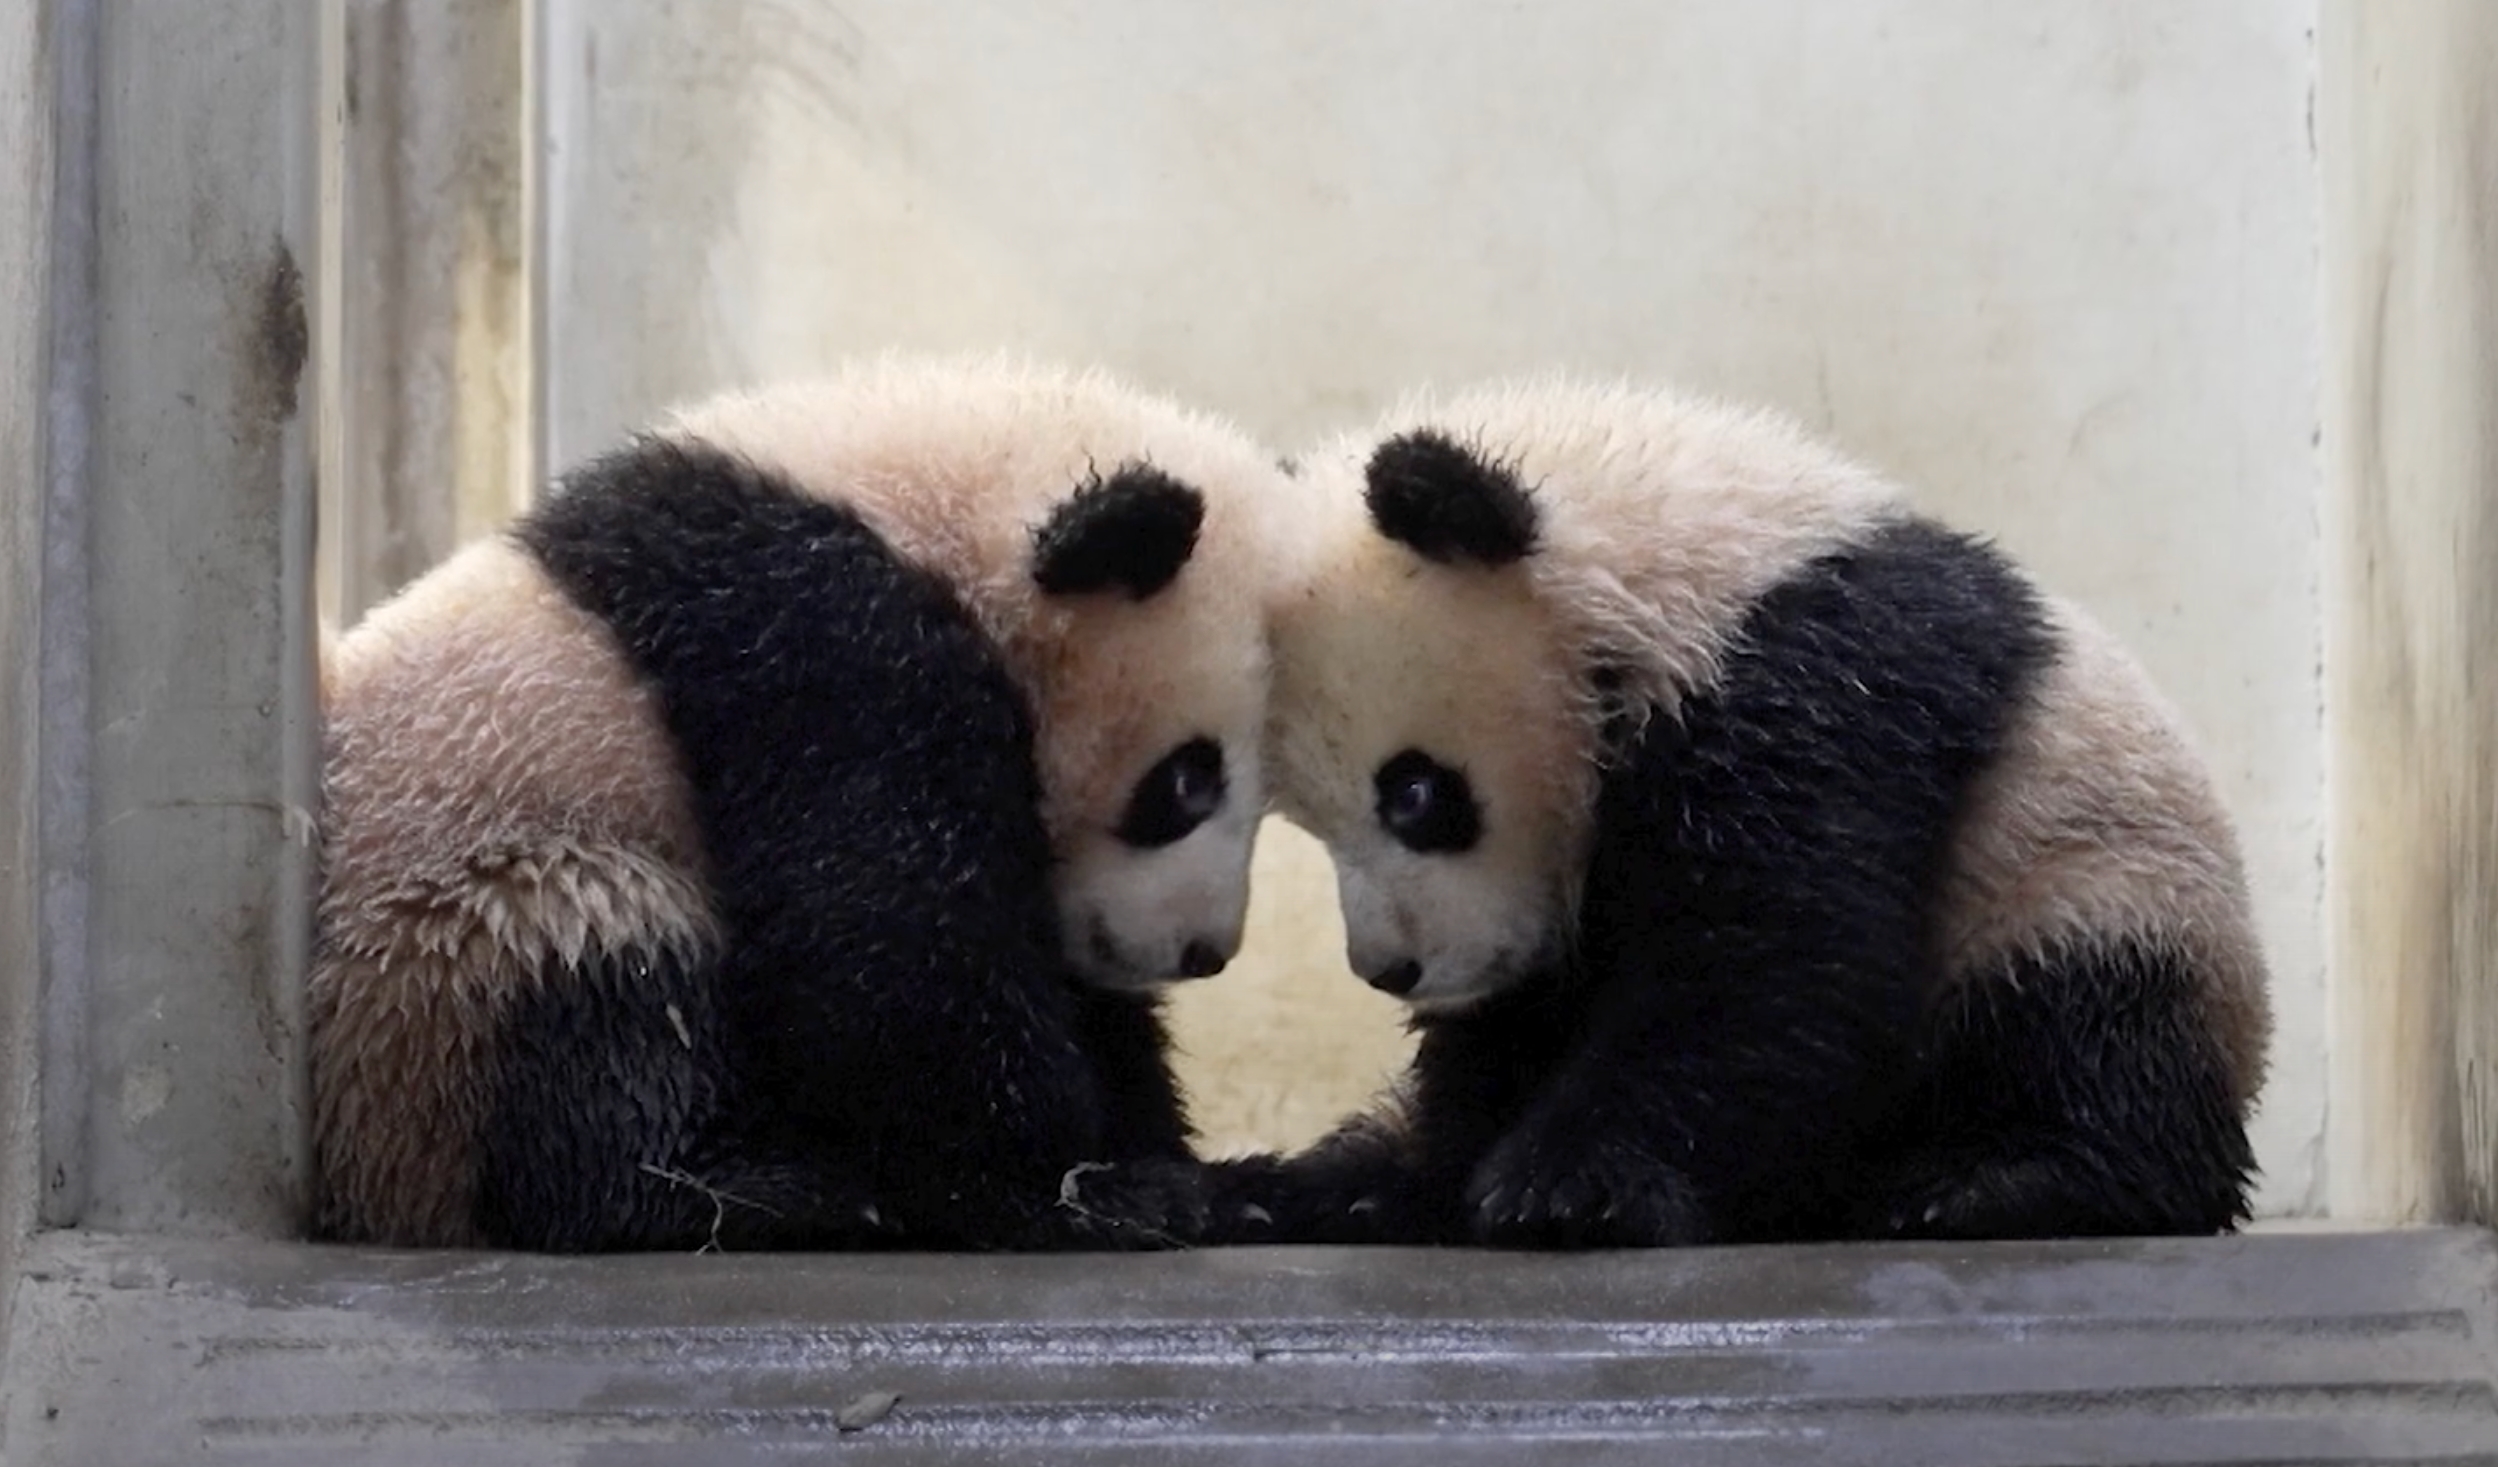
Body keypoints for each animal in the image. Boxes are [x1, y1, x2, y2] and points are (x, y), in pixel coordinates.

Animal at [311, 355, 1288, 1253]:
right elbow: (892, 950)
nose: (1204, 951)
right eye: (1188, 782)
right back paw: (760, 1191)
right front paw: (1082, 1185)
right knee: (599, 989)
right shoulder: (817, 647)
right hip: (448, 946)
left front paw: (1180, 1157)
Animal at [1215, 375, 2272, 1248]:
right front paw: (1393, 1180)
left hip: (2100, 882)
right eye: (1312, 824)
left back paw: (1996, 1182)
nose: (1390, 970)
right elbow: (1525, 1017)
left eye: (1417, 795)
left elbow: (1776, 956)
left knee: (2092, 1032)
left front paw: (1570, 1187)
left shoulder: (1818, 690)